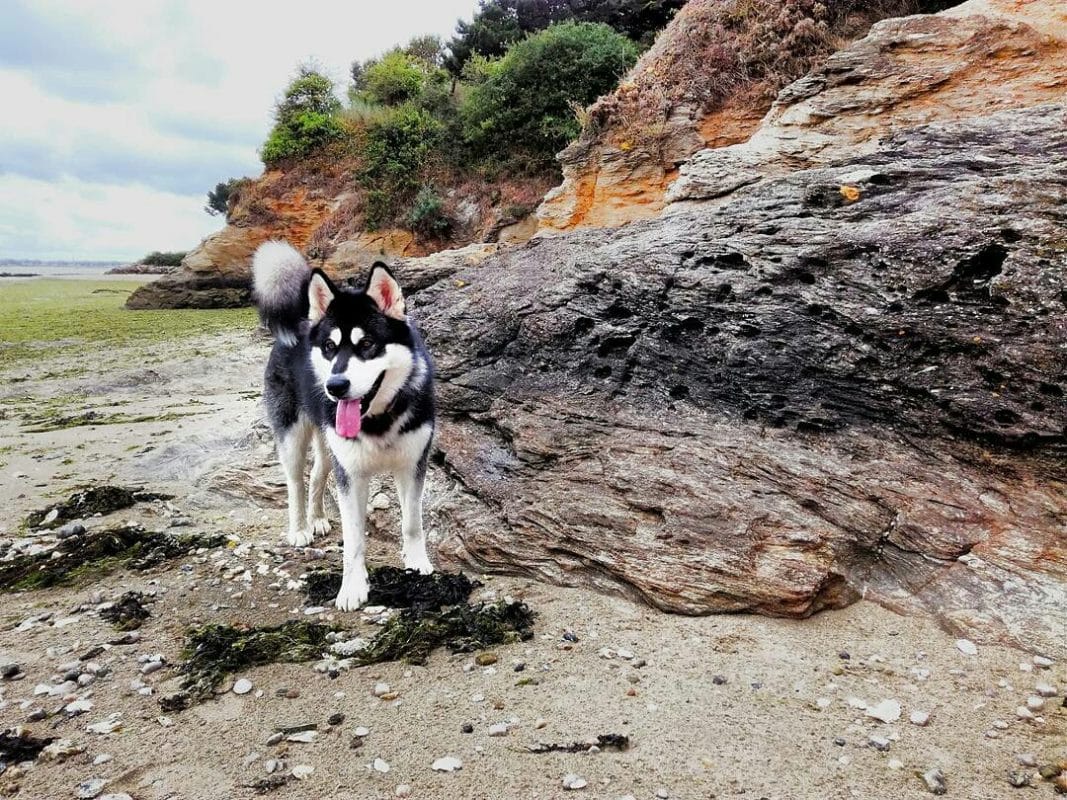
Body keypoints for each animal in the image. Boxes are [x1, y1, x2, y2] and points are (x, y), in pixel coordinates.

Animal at [251, 241, 435, 610]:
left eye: (366, 344)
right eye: (329, 347)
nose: (335, 386)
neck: (377, 418)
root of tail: (303, 321)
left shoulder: (411, 466)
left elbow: (411, 522)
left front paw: (416, 562)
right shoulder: (351, 474)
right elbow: (353, 539)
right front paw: (352, 587)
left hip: (328, 445)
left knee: (317, 475)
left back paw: (318, 518)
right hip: (292, 437)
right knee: (296, 482)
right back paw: (300, 528)